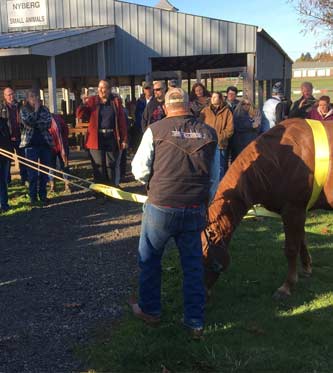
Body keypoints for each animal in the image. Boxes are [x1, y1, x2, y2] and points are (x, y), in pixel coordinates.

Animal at [202, 117, 332, 298]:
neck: (278, 160)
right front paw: (306, 267)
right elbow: (302, 240)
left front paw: (287, 286)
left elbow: (291, 248)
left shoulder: (293, 209)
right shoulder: (299, 211)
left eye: (202, 257)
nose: (203, 294)